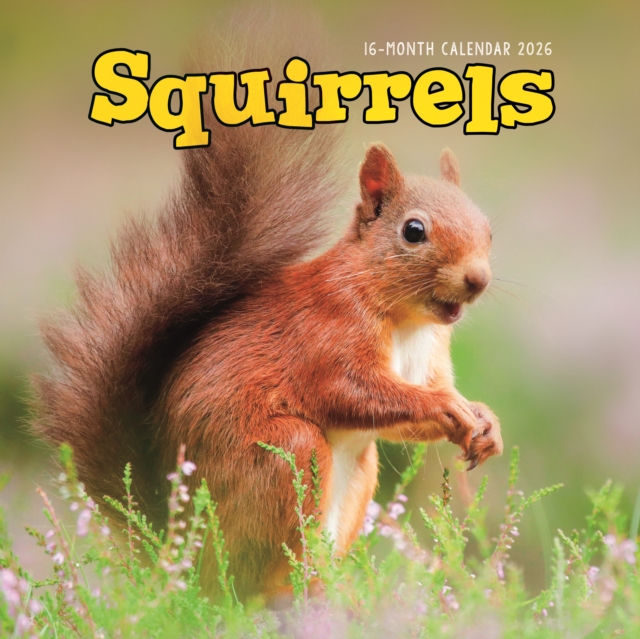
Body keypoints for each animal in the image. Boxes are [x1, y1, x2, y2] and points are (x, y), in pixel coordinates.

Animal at [31, 10, 502, 605]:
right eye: (413, 231)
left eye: (488, 227)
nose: (477, 279)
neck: (407, 322)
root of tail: (176, 555)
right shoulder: (326, 331)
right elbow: (351, 391)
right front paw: (448, 410)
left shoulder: (430, 357)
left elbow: (420, 403)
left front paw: (482, 420)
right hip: (285, 457)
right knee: (246, 580)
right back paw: (293, 595)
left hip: (356, 476)